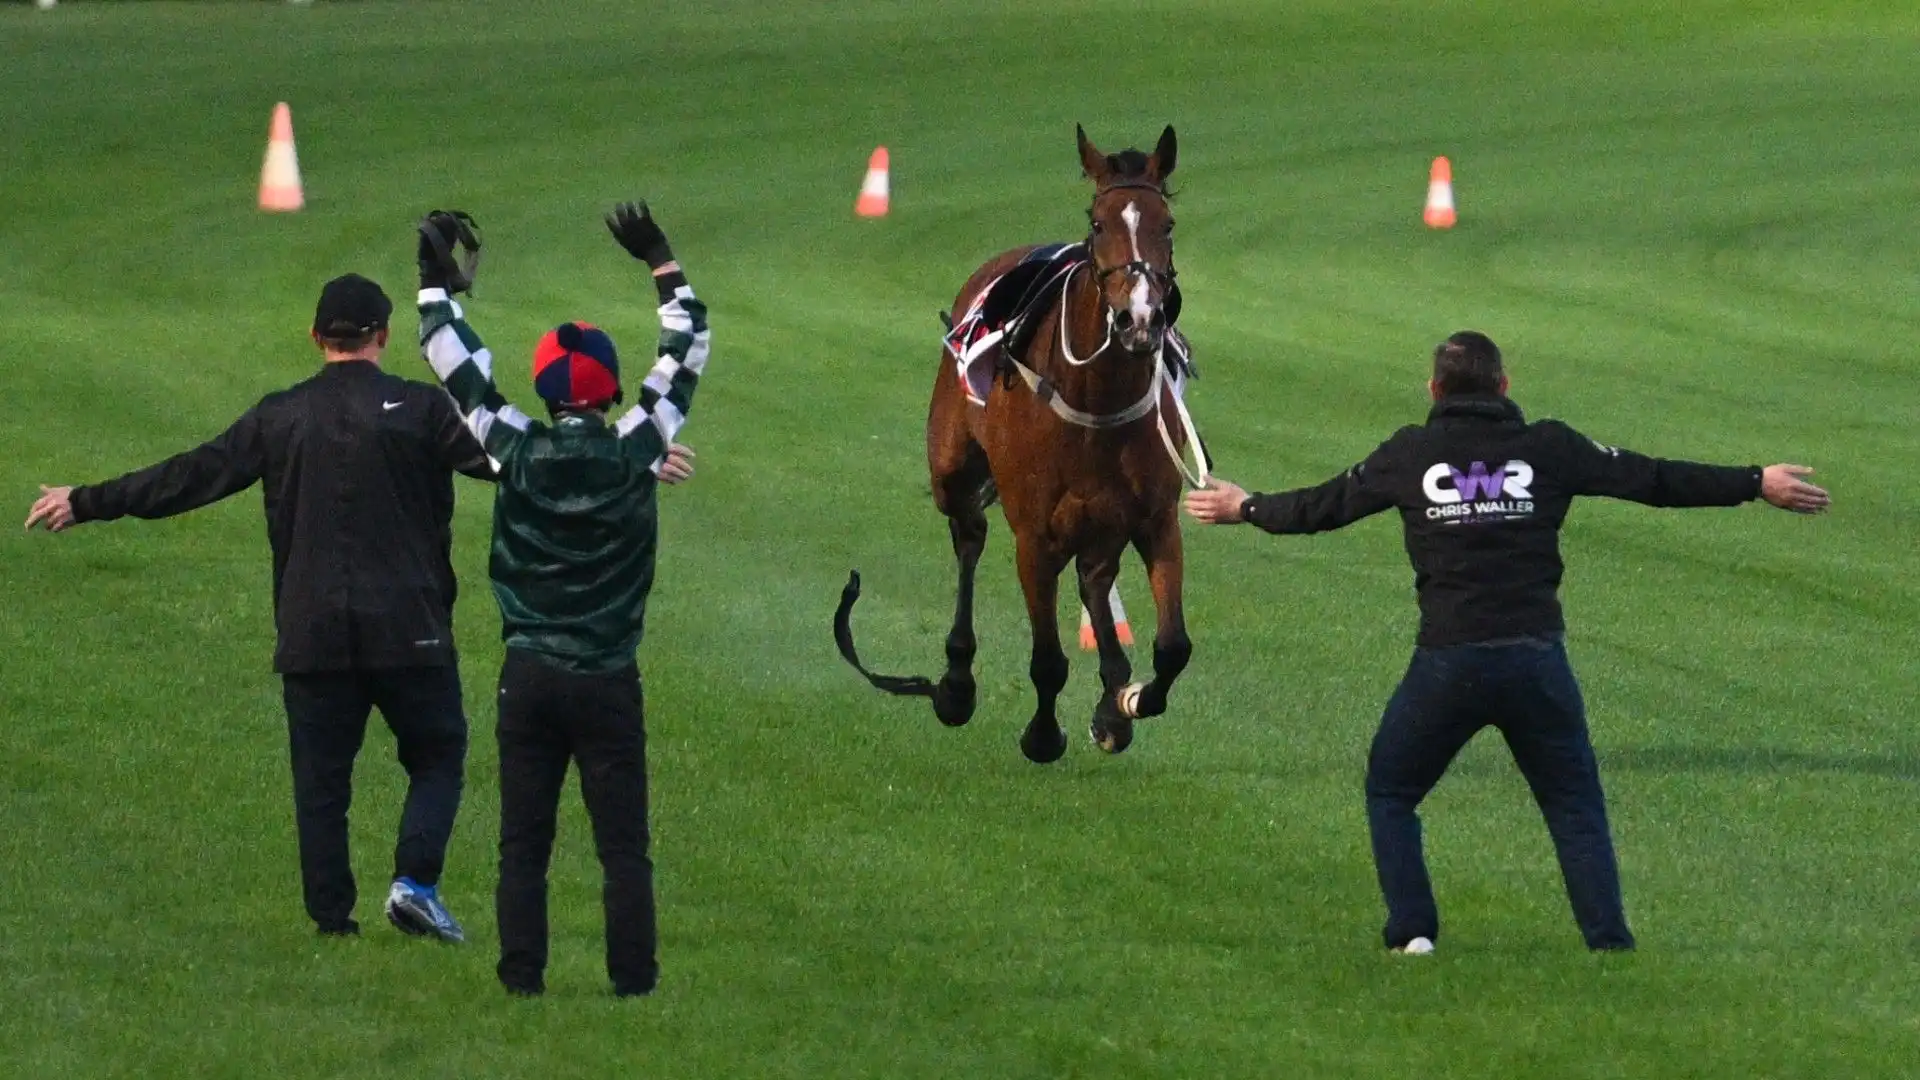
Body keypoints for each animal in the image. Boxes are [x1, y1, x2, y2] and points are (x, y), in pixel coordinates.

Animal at [837, 123, 1198, 757]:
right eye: (1097, 223)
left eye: (1167, 224)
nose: (1139, 319)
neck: (1096, 399)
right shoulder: (1034, 536)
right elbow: (1048, 659)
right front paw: (1042, 733)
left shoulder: (1155, 519)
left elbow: (1172, 647)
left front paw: (1125, 700)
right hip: (951, 470)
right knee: (969, 537)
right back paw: (957, 681)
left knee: (1095, 578)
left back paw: (1112, 693)